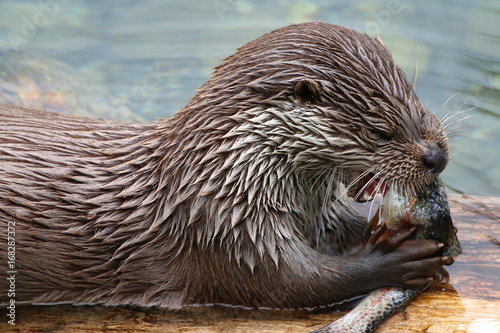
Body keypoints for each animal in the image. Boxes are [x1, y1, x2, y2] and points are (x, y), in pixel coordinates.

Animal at [0, 22, 446, 308]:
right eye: (380, 132)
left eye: (417, 100)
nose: (436, 157)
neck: (218, 175)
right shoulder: (222, 233)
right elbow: (297, 284)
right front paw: (400, 259)